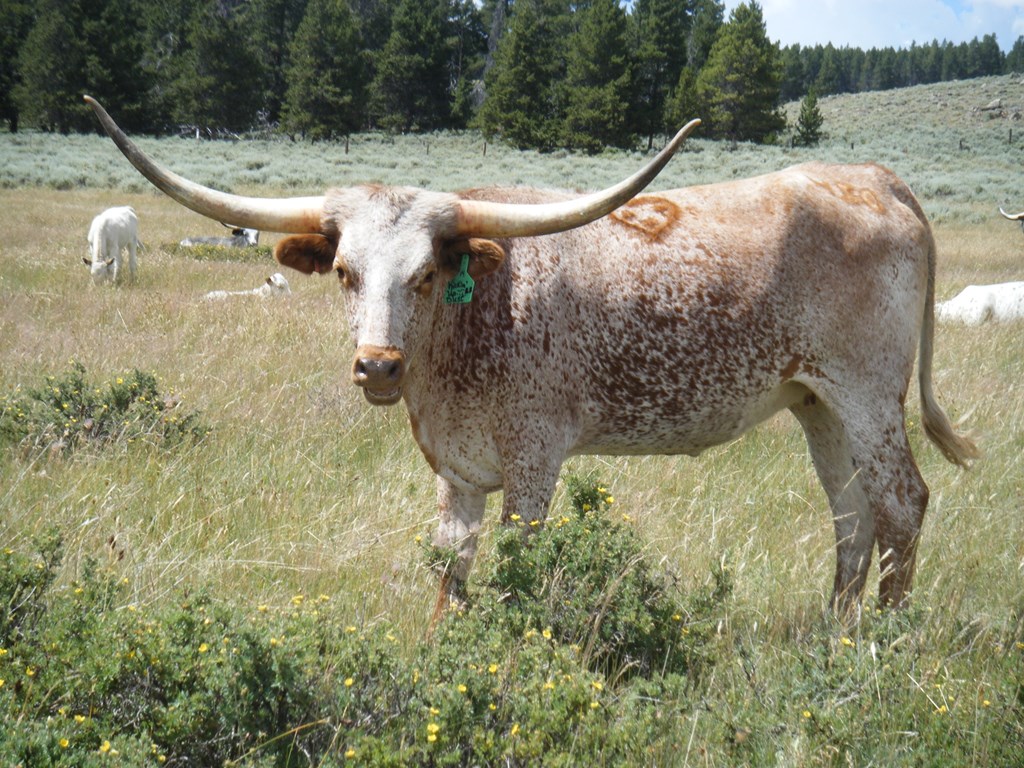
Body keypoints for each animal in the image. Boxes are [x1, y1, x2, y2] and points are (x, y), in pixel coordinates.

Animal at [85, 95, 978, 623]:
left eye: (427, 272)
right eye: (344, 272)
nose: (378, 367)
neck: (471, 326)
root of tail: (876, 176)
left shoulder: (534, 457)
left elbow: (520, 558)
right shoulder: (457, 468)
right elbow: (450, 565)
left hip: (867, 393)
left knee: (901, 501)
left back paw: (879, 642)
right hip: (815, 401)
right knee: (851, 512)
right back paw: (834, 629)